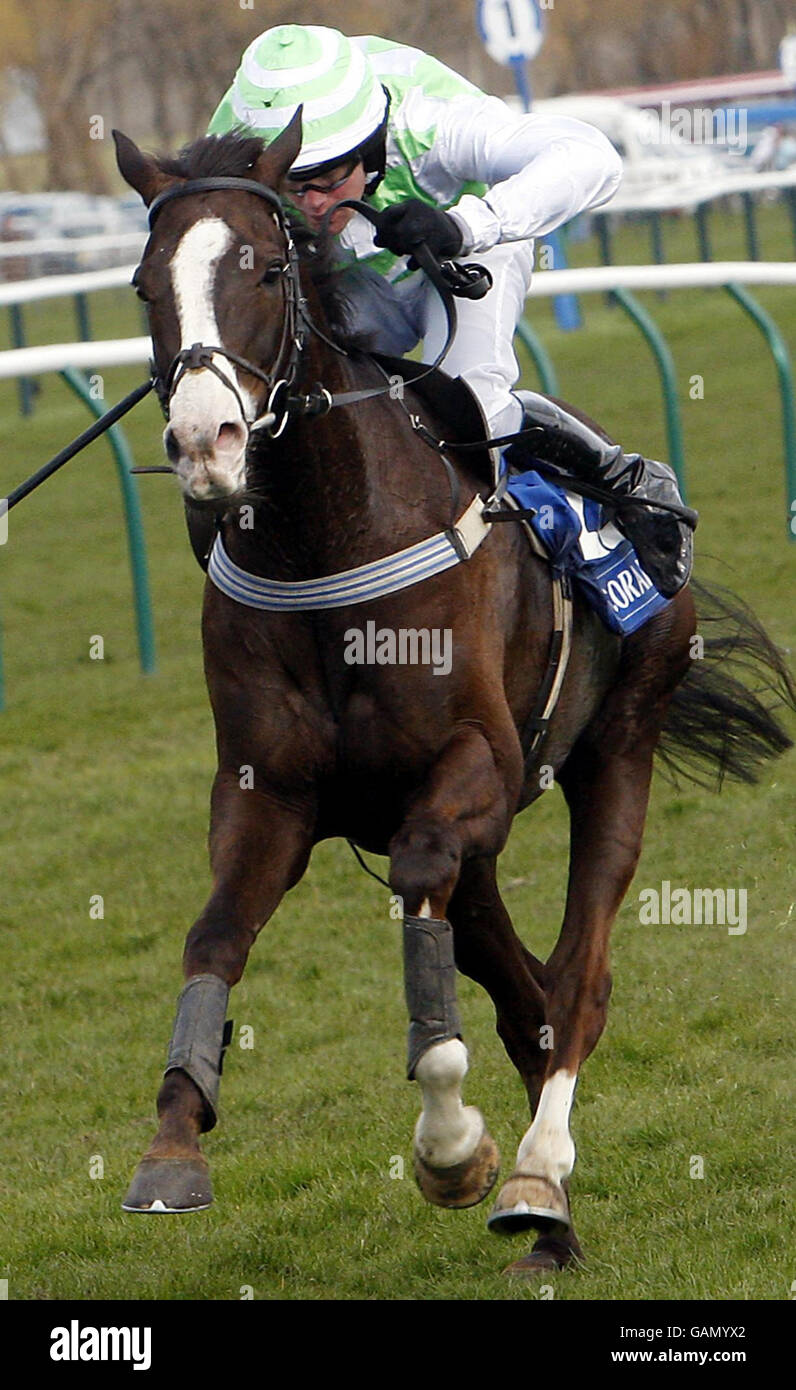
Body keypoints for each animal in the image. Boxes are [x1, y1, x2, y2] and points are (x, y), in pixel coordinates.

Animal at [111, 113, 794, 1273]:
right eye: (144, 283)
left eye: (263, 267)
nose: (206, 443)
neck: (328, 542)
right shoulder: (267, 792)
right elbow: (213, 938)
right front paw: (172, 1146)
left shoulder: (473, 770)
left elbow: (443, 950)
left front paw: (452, 1146)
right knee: (521, 989)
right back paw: (549, 1219)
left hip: (618, 741)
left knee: (578, 980)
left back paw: (535, 1177)